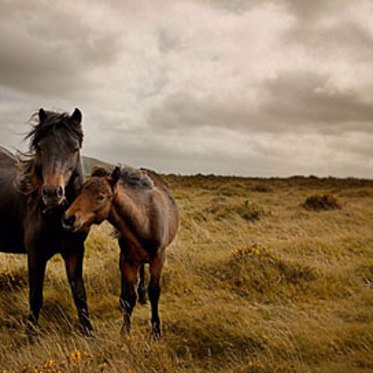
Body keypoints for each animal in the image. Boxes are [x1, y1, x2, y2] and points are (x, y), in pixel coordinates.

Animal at [0, 109, 92, 332]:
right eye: (40, 147)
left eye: (74, 148)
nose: (52, 193)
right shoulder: (36, 255)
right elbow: (35, 298)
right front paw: (30, 335)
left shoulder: (74, 251)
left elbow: (80, 295)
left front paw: (89, 333)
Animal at [62, 166, 179, 338]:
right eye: (79, 192)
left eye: (101, 196)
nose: (68, 219)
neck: (144, 222)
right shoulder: (128, 260)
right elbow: (129, 297)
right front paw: (125, 331)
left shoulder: (158, 259)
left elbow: (154, 292)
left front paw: (156, 330)